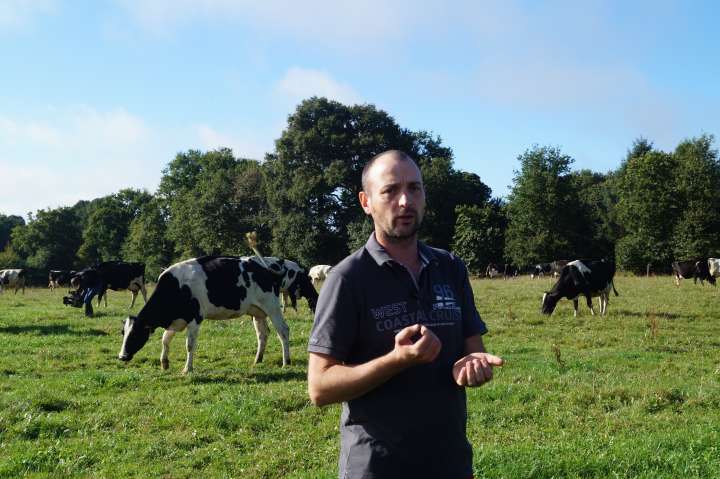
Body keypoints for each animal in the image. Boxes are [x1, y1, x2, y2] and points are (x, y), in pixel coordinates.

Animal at [119, 256, 306, 374]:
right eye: (123, 333)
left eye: (135, 334)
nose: (122, 356)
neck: (177, 287)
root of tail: (267, 265)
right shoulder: (177, 320)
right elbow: (165, 340)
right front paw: (164, 363)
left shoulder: (194, 319)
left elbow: (189, 345)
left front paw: (187, 369)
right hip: (257, 311)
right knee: (263, 334)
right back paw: (257, 360)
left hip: (272, 306)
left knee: (283, 331)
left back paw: (286, 362)